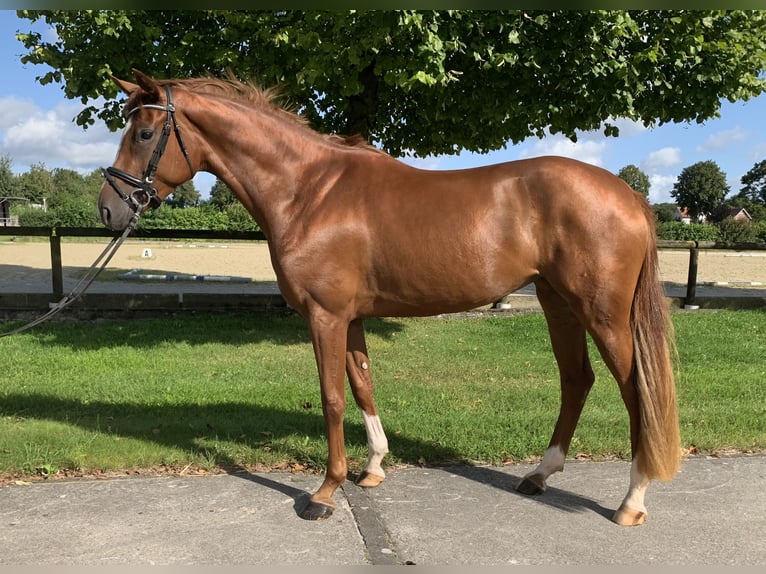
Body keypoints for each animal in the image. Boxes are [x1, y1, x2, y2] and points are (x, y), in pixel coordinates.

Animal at [99, 70, 680, 528]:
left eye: (145, 132)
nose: (109, 209)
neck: (309, 190)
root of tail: (630, 195)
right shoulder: (350, 317)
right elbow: (362, 384)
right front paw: (374, 468)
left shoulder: (325, 317)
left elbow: (332, 397)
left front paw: (324, 492)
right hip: (558, 303)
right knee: (576, 380)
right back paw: (539, 475)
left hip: (602, 314)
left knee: (635, 390)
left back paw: (631, 500)